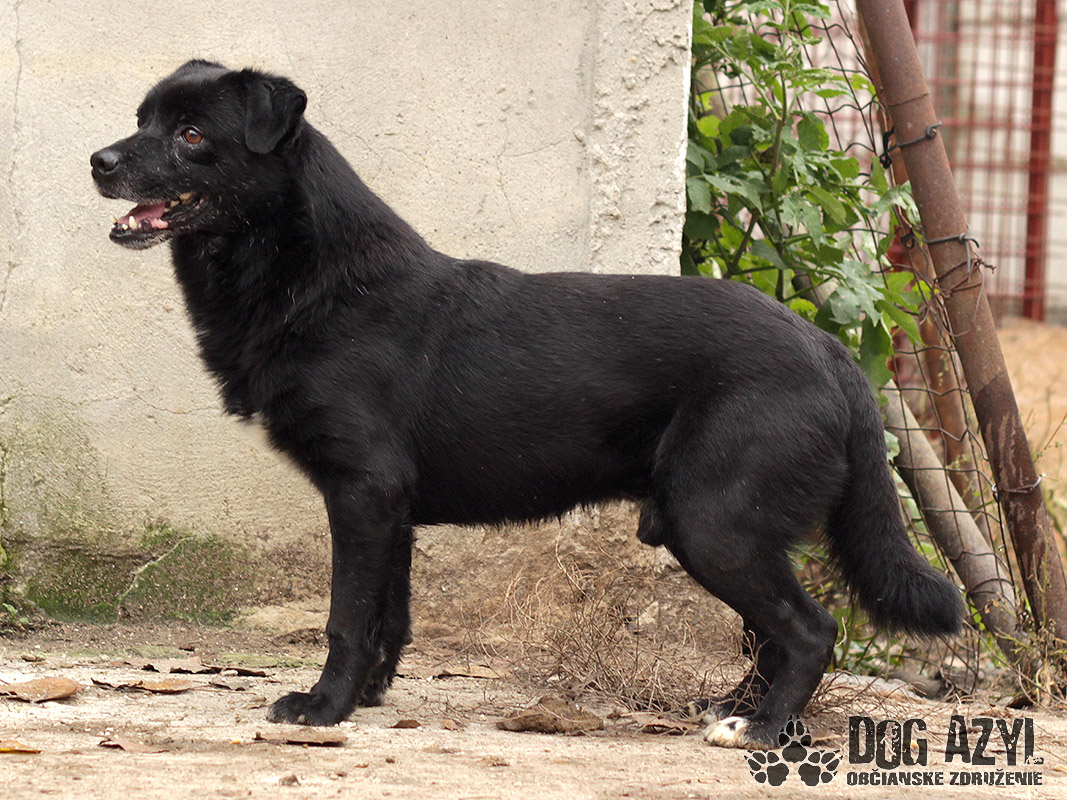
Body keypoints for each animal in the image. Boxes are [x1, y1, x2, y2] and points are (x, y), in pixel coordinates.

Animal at [90, 61, 961, 748]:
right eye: (143, 119)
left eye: (192, 134)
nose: (97, 161)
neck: (314, 276)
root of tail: (829, 351)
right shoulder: (391, 508)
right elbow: (388, 618)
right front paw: (366, 700)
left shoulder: (361, 491)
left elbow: (345, 615)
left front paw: (322, 708)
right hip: (729, 527)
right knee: (769, 636)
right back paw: (730, 710)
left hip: (714, 523)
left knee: (809, 631)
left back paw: (760, 731)